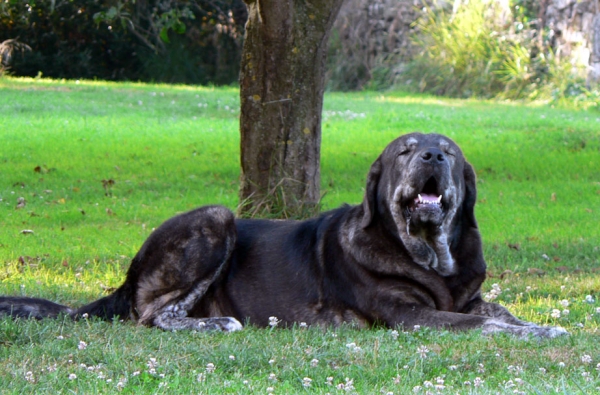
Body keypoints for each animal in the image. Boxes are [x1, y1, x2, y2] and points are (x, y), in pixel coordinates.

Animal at [1, 133, 568, 338]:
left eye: (447, 152)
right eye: (407, 150)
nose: (431, 156)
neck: (430, 256)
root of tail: (128, 275)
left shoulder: (467, 296)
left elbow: (499, 311)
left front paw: (542, 325)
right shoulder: (410, 315)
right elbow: (481, 324)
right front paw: (535, 333)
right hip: (216, 218)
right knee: (151, 315)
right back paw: (215, 324)